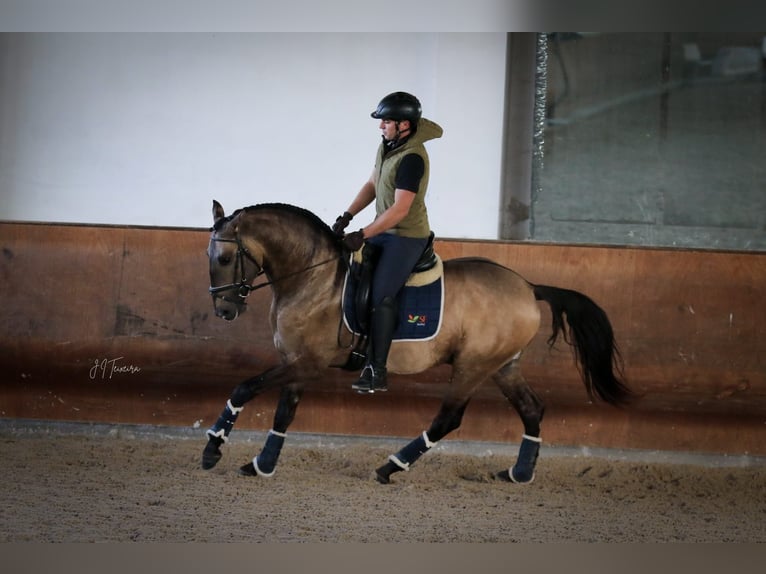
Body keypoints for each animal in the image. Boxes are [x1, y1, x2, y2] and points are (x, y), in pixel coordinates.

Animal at [201, 202, 632, 486]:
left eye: (223, 258)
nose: (224, 310)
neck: (312, 277)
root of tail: (528, 286)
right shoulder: (296, 362)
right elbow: (284, 414)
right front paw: (262, 464)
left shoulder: (307, 362)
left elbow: (245, 387)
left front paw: (213, 448)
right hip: (503, 366)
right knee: (532, 409)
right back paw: (519, 472)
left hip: (473, 366)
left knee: (448, 419)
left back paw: (390, 467)